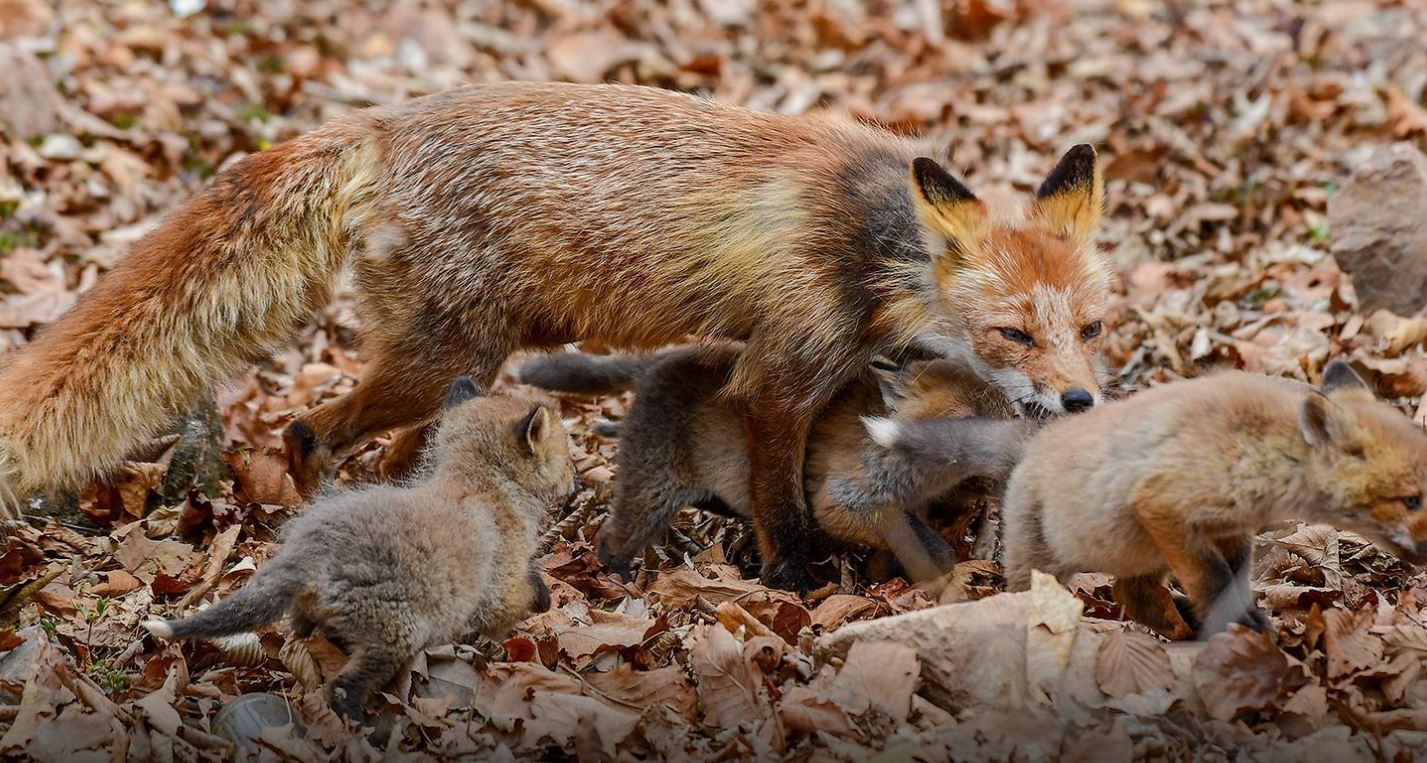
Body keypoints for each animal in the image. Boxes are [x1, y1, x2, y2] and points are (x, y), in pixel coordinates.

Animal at [0, 82, 1113, 590]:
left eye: (1088, 326)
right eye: (1012, 331)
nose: (1080, 402)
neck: (869, 249)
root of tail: (386, 123)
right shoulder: (777, 378)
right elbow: (781, 502)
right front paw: (790, 577)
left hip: (465, 358)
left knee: (402, 453)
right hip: (438, 359)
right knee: (309, 427)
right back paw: (314, 508)